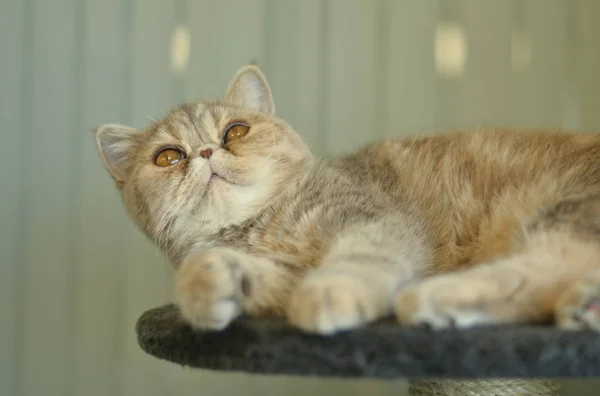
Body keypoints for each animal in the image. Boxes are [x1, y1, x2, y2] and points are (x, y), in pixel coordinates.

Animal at [95, 63, 600, 332]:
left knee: (535, 270)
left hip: (565, 212)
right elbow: (223, 271)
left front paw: (331, 291)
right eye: (168, 157)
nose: (203, 152)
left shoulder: (374, 222)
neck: (258, 227)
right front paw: (211, 285)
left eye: (235, 132)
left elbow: (359, 260)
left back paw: (430, 297)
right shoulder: (281, 271)